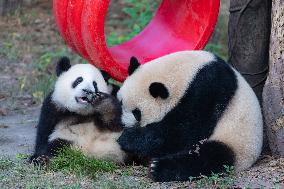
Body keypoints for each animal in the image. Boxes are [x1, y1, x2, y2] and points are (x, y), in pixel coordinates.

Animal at [116, 50, 262, 182]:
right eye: (121, 102)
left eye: (137, 113)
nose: (123, 124)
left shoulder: (209, 90)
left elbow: (183, 131)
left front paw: (128, 138)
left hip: (237, 141)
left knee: (208, 158)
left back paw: (158, 168)